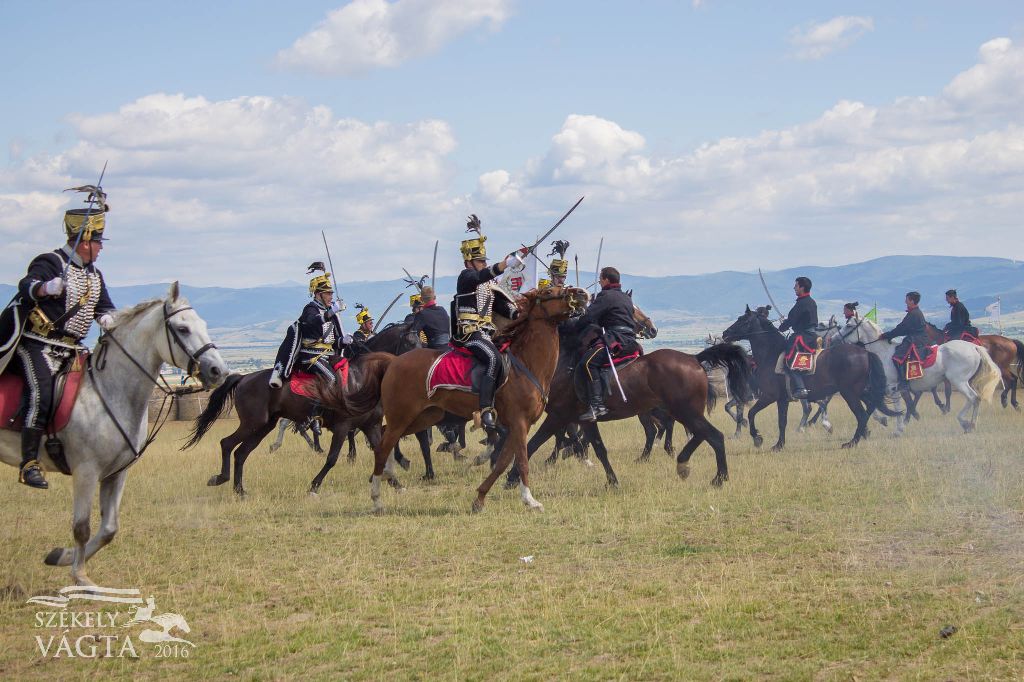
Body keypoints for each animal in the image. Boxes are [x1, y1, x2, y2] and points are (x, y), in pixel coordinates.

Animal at [0, 280, 225, 585]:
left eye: (201, 323)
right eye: (182, 329)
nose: (218, 370)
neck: (109, 390)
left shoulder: (116, 473)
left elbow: (109, 528)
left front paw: (61, 556)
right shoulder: (86, 471)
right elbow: (82, 526)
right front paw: (81, 577)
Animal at [184, 319, 419, 493]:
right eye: (410, 343)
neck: (361, 379)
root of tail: (243, 378)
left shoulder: (370, 425)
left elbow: (382, 453)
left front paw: (396, 483)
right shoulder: (343, 426)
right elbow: (332, 458)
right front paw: (314, 485)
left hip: (263, 426)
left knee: (241, 453)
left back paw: (239, 490)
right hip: (252, 423)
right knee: (227, 444)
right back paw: (221, 479)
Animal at [319, 284, 593, 512]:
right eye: (548, 292)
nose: (581, 294)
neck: (526, 363)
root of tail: (393, 362)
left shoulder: (515, 426)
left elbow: (503, 461)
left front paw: (480, 498)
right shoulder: (519, 423)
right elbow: (521, 461)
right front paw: (530, 500)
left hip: (423, 417)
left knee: (385, 439)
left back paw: (390, 474)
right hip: (403, 416)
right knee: (383, 446)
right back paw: (377, 497)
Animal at [720, 305, 905, 448]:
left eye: (743, 320)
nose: (725, 334)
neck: (770, 355)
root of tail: (865, 352)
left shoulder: (769, 396)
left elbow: (751, 413)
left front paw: (757, 438)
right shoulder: (782, 399)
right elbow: (782, 421)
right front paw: (779, 445)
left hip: (849, 392)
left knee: (861, 414)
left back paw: (851, 442)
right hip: (860, 391)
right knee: (870, 408)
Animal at [831, 315, 999, 430]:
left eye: (849, 325)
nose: (833, 339)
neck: (882, 353)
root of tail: (974, 347)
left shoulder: (891, 387)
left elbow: (896, 406)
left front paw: (898, 428)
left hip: (959, 381)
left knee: (973, 397)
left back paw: (967, 422)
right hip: (965, 381)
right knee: (975, 398)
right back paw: (969, 423)